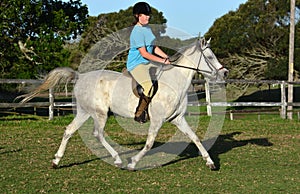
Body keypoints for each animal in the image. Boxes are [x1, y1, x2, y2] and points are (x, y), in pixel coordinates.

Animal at [20, 37, 227, 170]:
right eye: (209, 57)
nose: (224, 73)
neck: (174, 82)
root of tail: (80, 77)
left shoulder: (177, 119)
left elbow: (195, 138)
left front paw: (210, 163)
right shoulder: (157, 121)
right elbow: (149, 144)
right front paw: (133, 162)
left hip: (85, 112)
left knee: (69, 130)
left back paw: (56, 161)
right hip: (100, 113)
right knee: (98, 134)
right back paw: (118, 160)